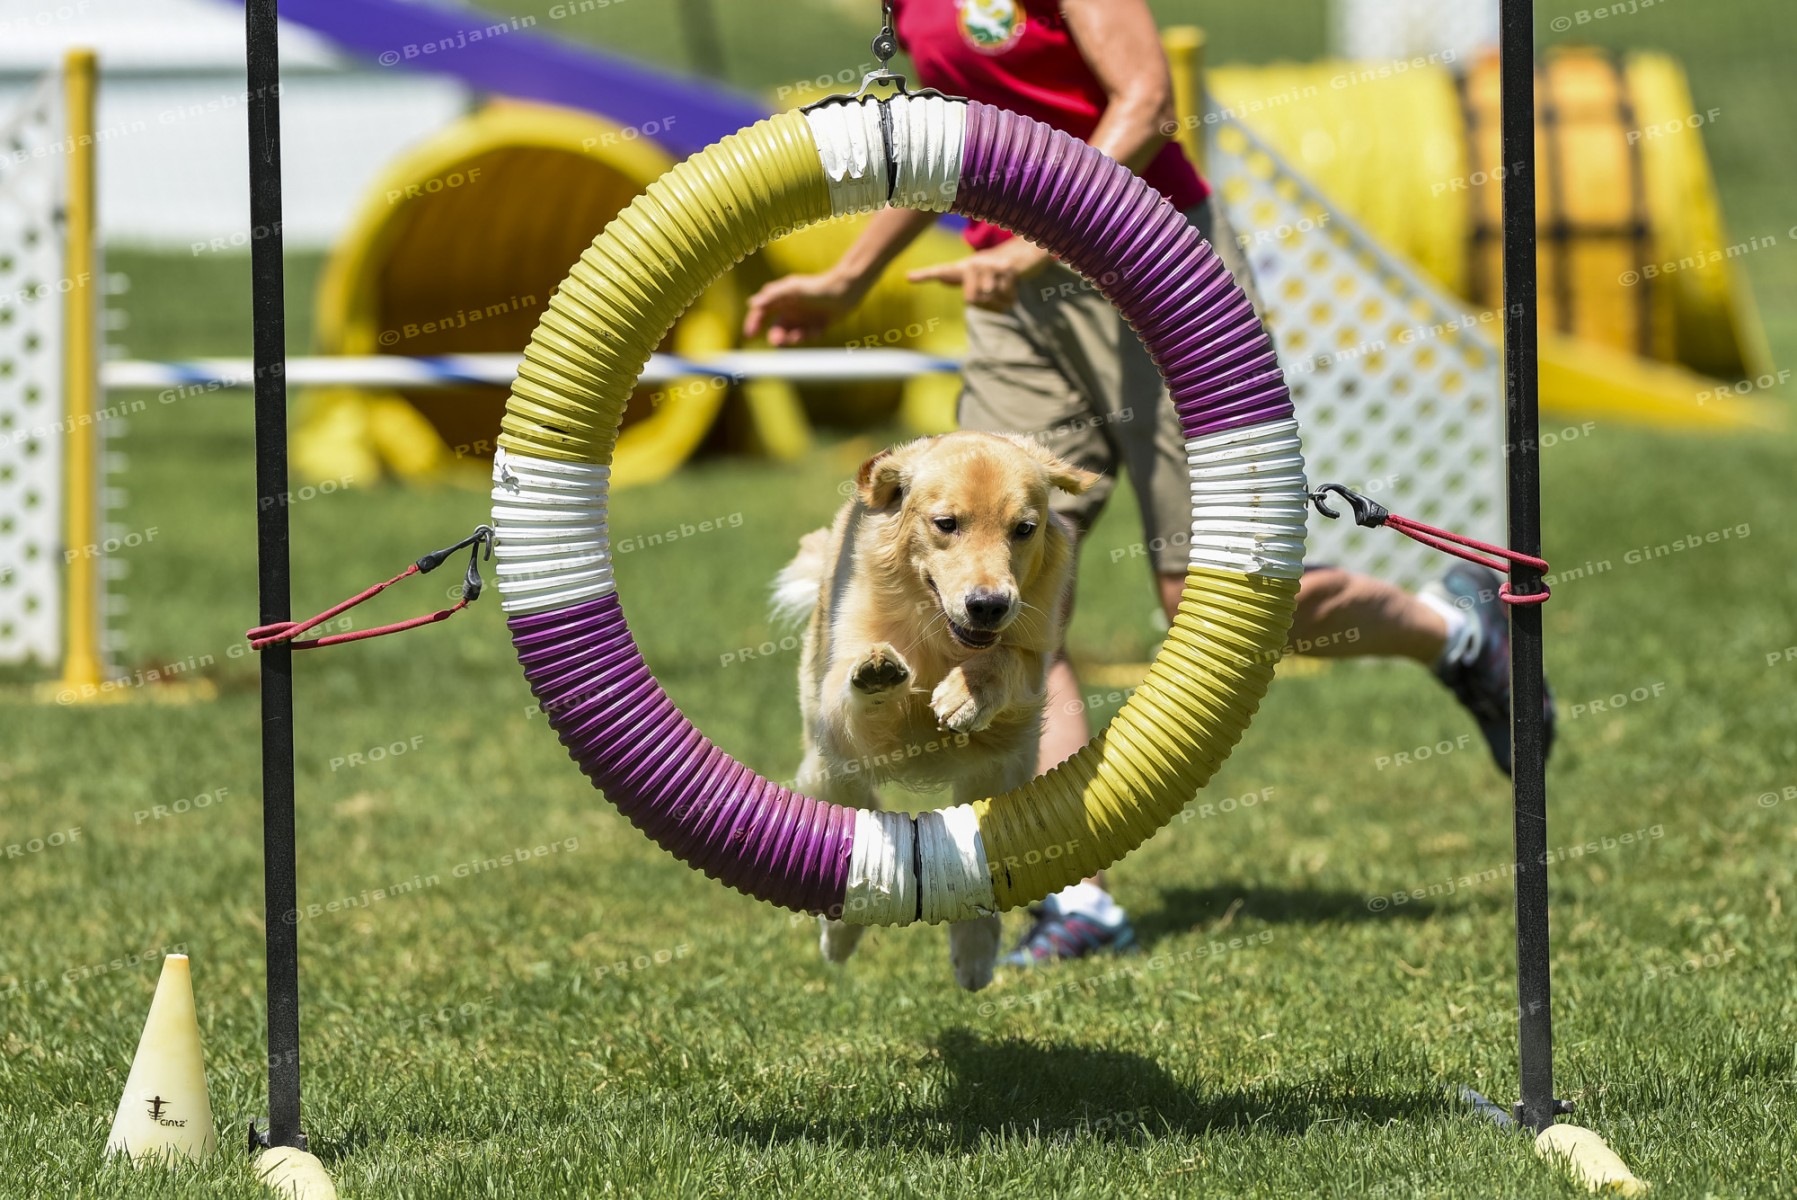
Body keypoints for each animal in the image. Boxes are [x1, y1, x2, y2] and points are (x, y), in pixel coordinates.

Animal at [772, 432, 1097, 990]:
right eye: (946, 524)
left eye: (1024, 529)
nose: (988, 605)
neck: (939, 636)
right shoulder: (843, 720)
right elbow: (859, 697)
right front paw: (879, 673)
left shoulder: (1027, 675)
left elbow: (1008, 658)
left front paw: (967, 692)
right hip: (825, 767)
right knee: (855, 813)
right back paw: (841, 934)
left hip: (995, 774)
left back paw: (975, 954)